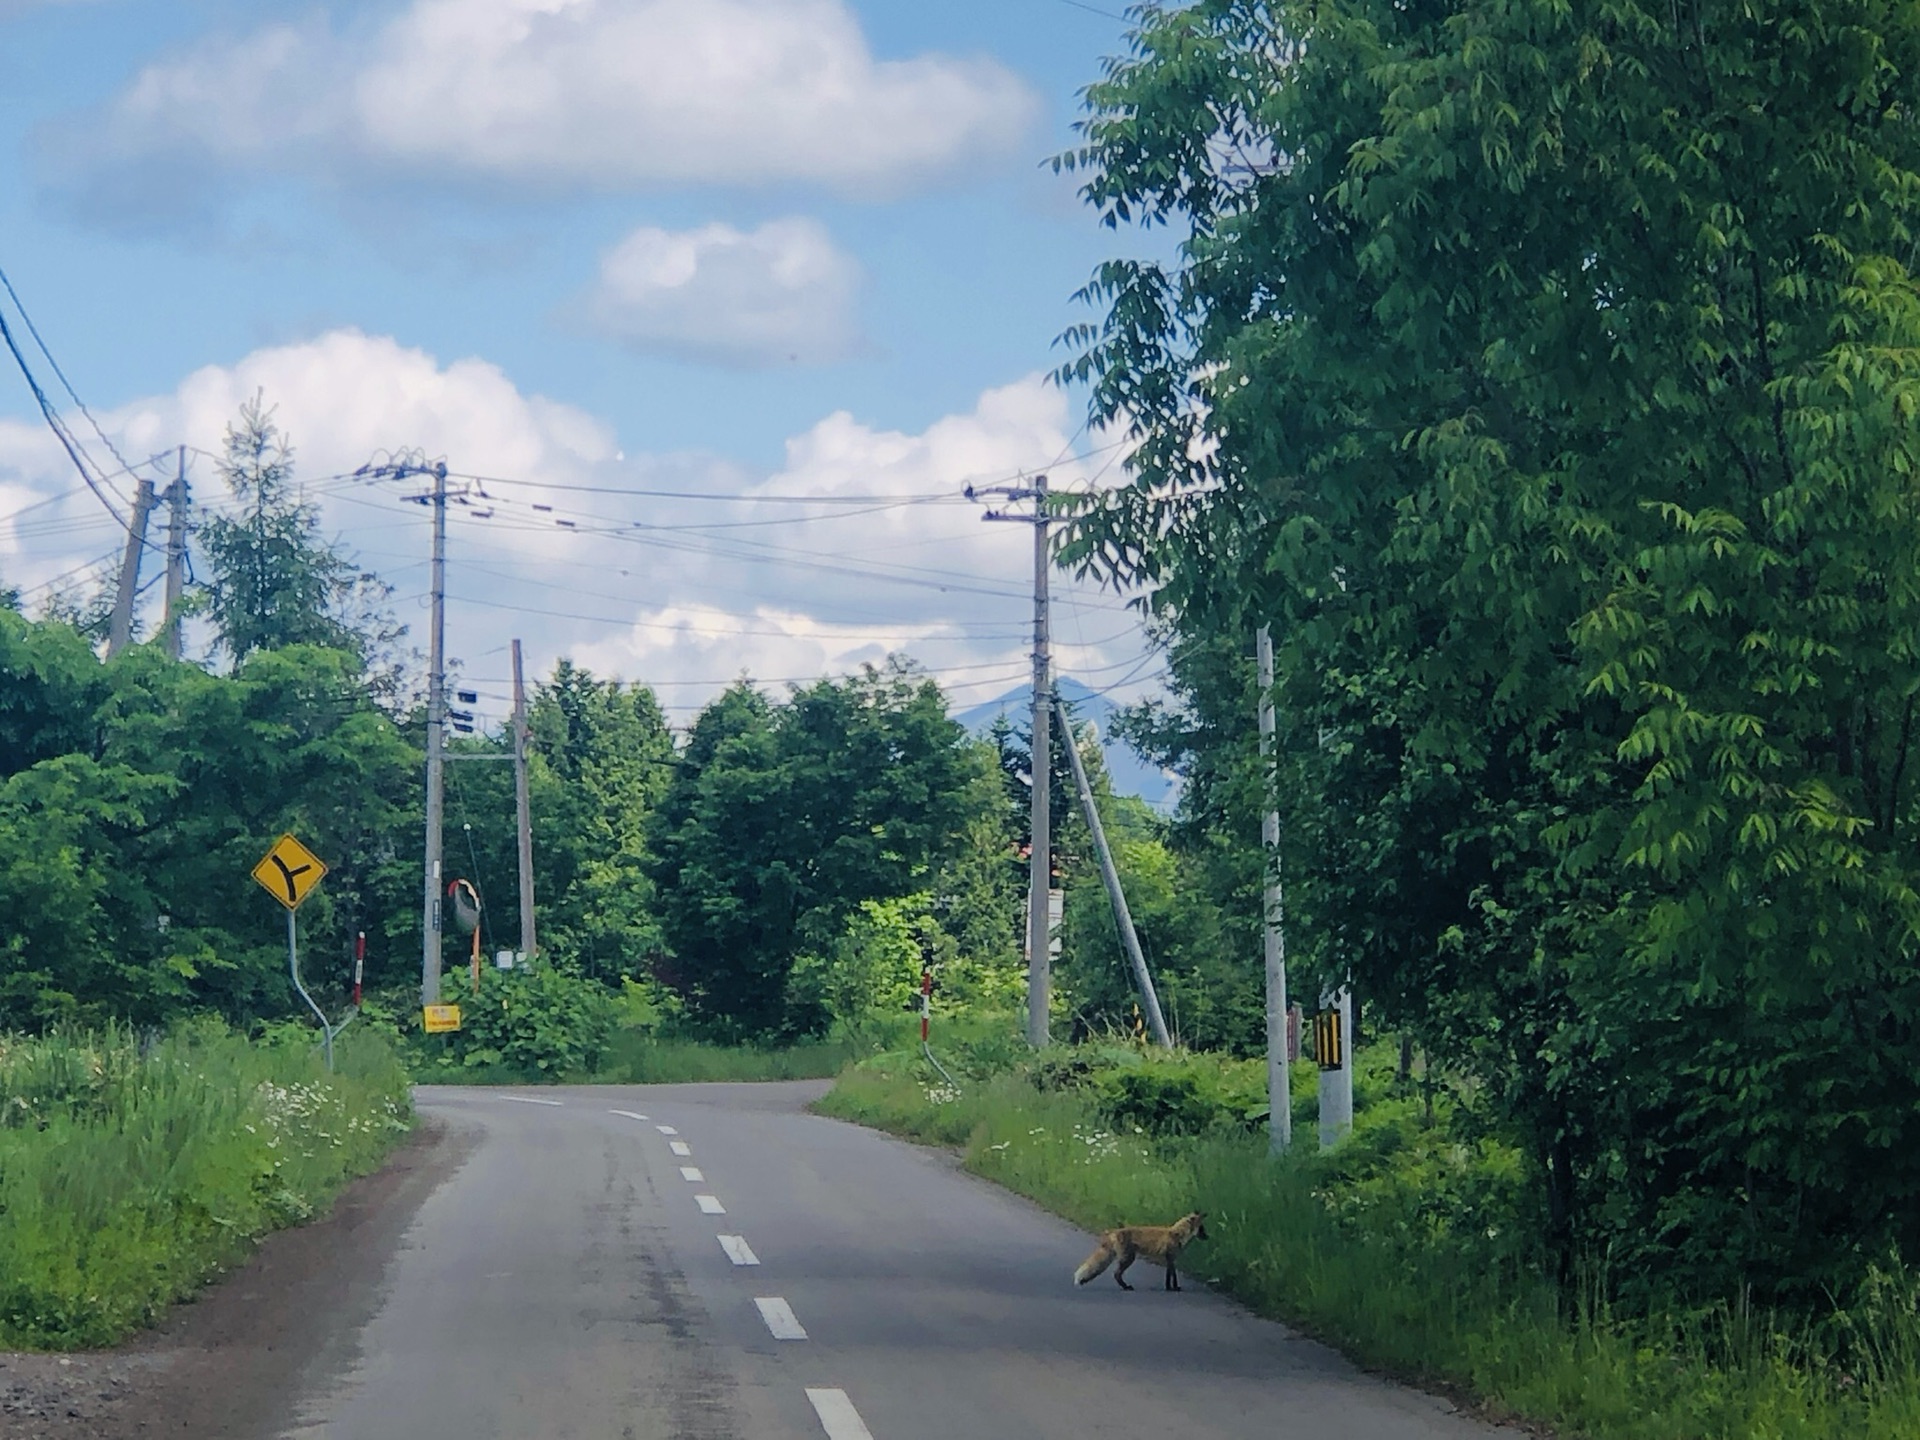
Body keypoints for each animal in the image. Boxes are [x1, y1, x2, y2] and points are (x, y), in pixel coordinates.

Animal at [1075, 1221, 1205, 1297]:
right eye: (1202, 1229)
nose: (1207, 1237)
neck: (1178, 1234)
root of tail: (1113, 1231)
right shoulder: (1171, 1258)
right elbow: (1173, 1277)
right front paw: (1174, 1288)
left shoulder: (1170, 1260)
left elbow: (1170, 1276)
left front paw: (1169, 1288)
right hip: (1128, 1259)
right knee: (1116, 1274)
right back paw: (1126, 1287)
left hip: (1127, 1258)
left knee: (1115, 1273)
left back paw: (1125, 1286)